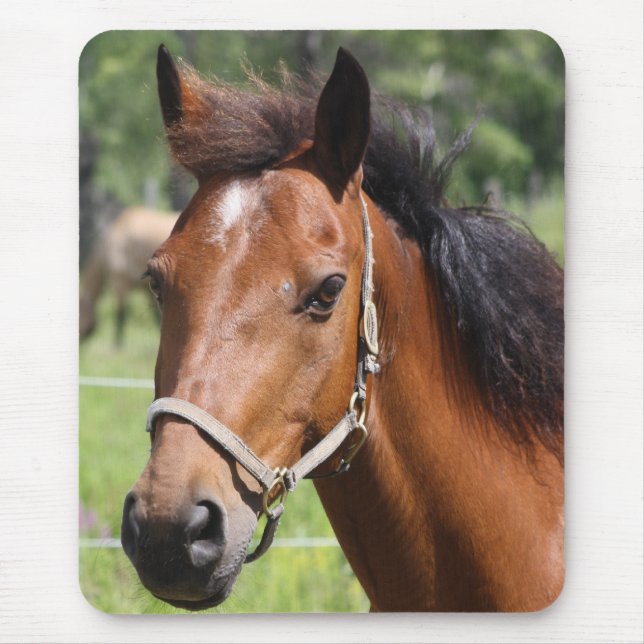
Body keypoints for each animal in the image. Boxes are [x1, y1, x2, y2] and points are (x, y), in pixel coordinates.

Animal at [79, 206, 178, 344]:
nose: (80, 342)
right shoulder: (146, 288)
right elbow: (157, 316)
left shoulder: (121, 280)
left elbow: (120, 313)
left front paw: (118, 343)